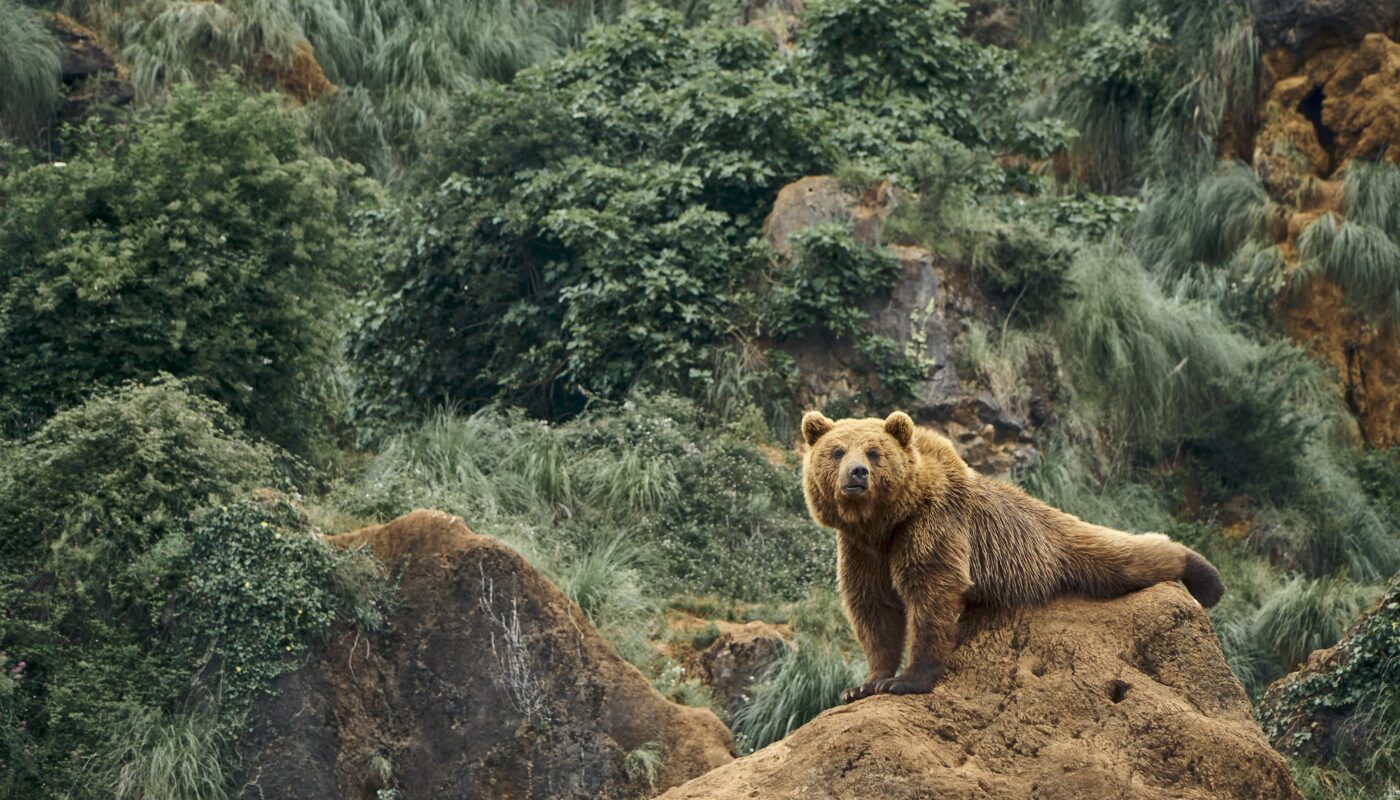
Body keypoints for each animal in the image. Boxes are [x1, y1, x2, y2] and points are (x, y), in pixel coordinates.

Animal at [806, 411, 1220, 700]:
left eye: (874, 452)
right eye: (836, 450)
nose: (857, 473)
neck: (885, 522)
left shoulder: (933, 525)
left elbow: (932, 593)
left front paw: (907, 680)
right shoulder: (861, 551)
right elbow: (874, 608)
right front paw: (864, 684)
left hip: (1053, 546)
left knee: (1120, 555)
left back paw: (1205, 577)